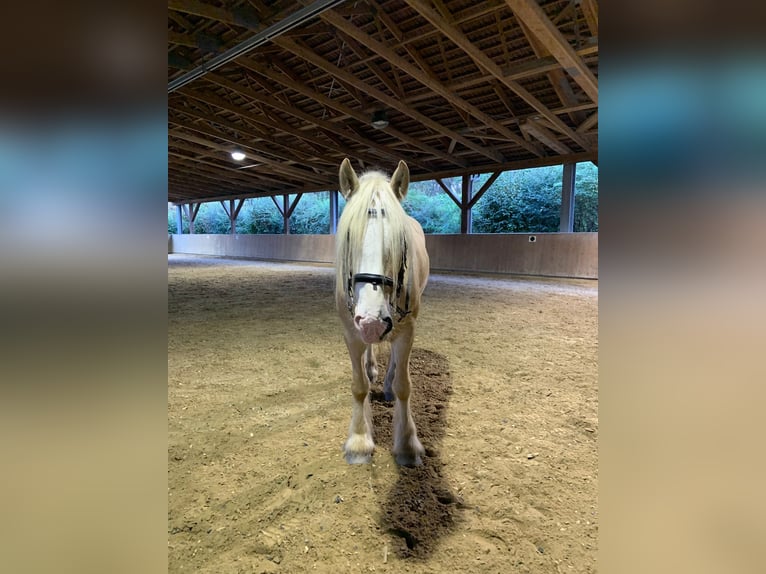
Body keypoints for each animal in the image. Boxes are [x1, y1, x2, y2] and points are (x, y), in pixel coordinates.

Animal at [336, 158, 432, 468]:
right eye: (349, 237)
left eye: (401, 241)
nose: (372, 321)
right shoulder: (350, 330)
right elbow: (359, 386)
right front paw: (359, 440)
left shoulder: (407, 328)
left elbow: (404, 386)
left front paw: (407, 444)